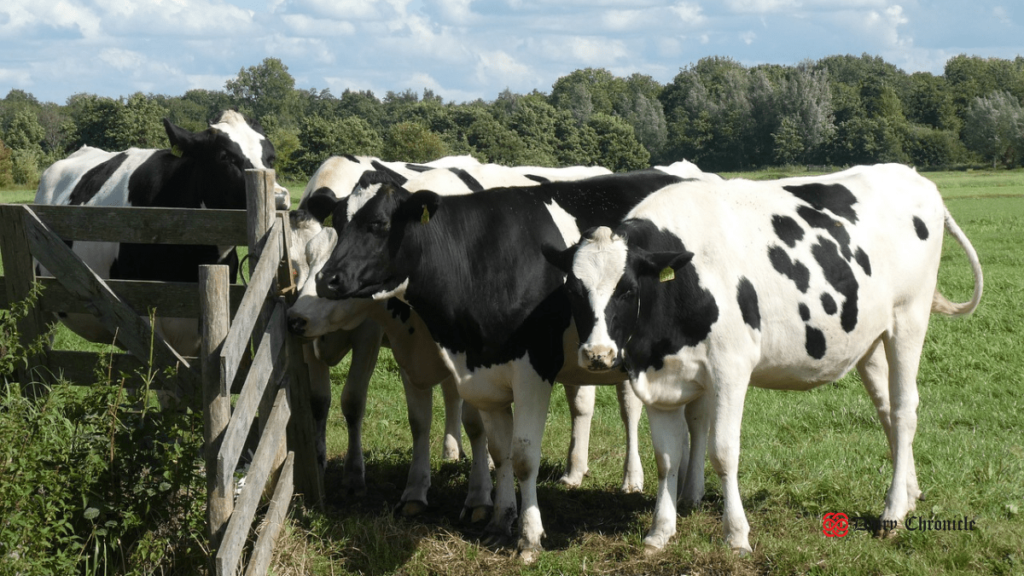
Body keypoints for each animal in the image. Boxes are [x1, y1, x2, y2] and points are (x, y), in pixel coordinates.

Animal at [313, 168, 696, 557]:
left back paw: (644, 483)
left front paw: (529, 536)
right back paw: (681, 490)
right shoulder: (481, 372)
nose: (326, 279)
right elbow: (500, 452)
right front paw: (500, 521)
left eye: (378, 224)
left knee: (644, 412)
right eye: (338, 222)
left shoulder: (533, 371)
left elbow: (524, 455)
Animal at [544, 161, 983, 553]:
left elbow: (723, 452)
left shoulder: (731, 368)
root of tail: (911, 175)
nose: (597, 354)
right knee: (888, 410)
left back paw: (892, 514)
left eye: (628, 289)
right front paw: (659, 533)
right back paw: (908, 494)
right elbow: (667, 458)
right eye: (573, 291)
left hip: (909, 319)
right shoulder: (657, 375)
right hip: (871, 340)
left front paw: (736, 535)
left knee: (906, 409)